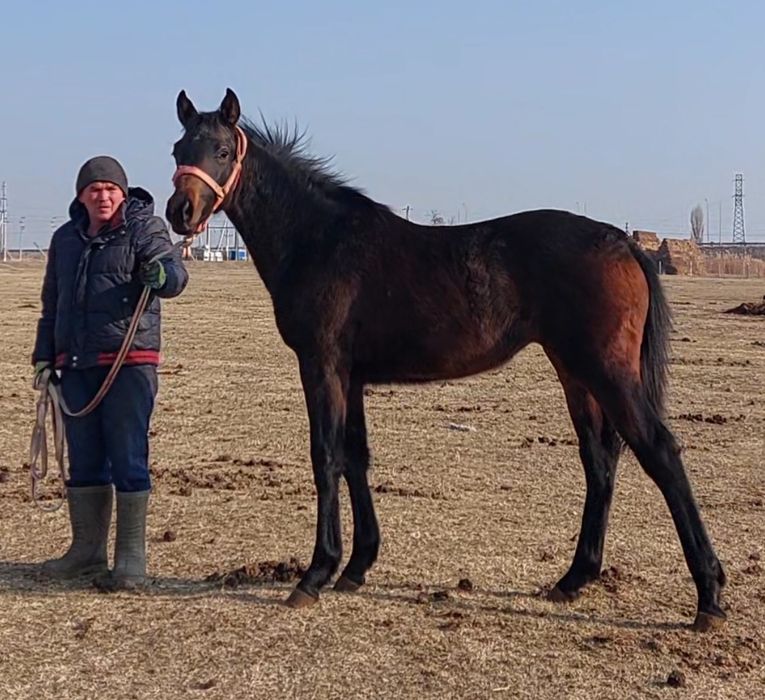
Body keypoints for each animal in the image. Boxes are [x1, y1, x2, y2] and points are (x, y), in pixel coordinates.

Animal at [165, 88, 726, 631]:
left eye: (221, 150)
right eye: (177, 150)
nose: (180, 212)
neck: (319, 239)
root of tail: (625, 241)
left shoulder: (321, 367)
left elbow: (325, 457)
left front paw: (316, 573)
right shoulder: (351, 376)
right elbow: (355, 457)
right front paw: (358, 566)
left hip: (606, 372)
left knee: (659, 451)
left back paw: (709, 595)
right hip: (576, 374)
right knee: (600, 460)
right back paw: (574, 578)